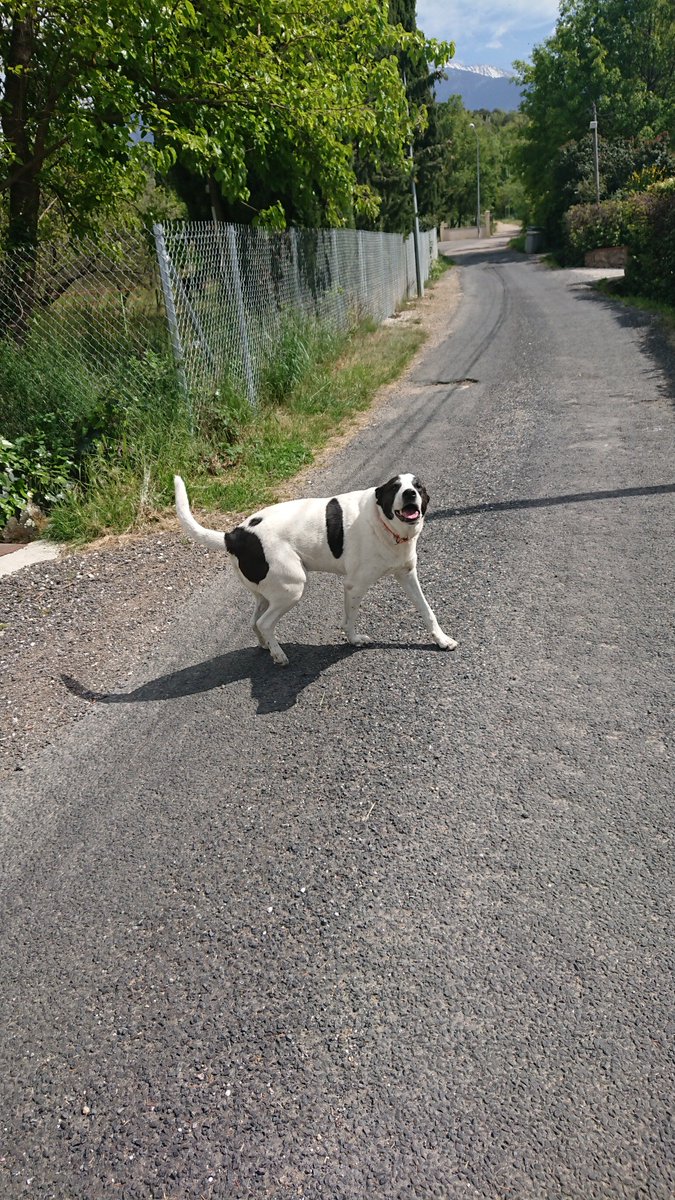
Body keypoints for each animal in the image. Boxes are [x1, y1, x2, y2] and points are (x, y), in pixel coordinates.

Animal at [174, 470, 456, 667]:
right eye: (395, 487)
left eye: (418, 487)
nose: (410, 494)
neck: (383, 524)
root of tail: (235, 535)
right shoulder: (354, 586)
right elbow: (349, 619)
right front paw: (354, 641)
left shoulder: (407, 575)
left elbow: (427, 611)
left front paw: (441, 640)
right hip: (292, 588)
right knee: (265, 623)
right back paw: (279, 655)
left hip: (267, 592)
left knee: (255, 621)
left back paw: (267, 647)